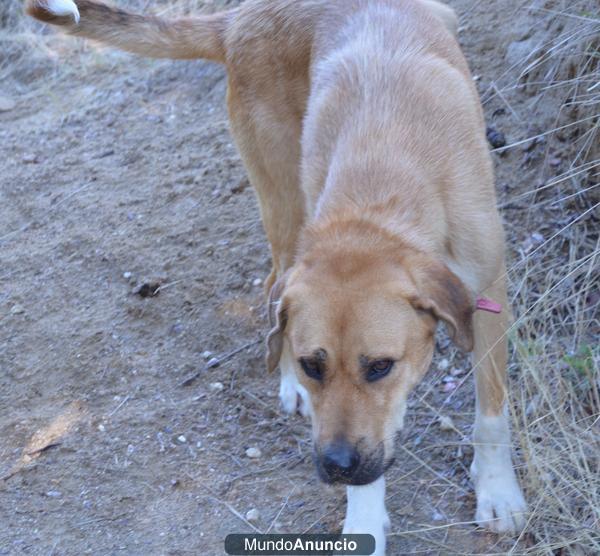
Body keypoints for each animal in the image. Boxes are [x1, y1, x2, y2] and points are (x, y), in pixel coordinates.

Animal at [25, 0, 528, 552]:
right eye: (313, 364)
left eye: (380, 366)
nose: (336, 466)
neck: (382, 181)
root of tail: (239, 19)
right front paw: (364, 518)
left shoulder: (487, 293)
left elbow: (491, 415)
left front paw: (497, 493)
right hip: (286, 211)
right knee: (272, 292)